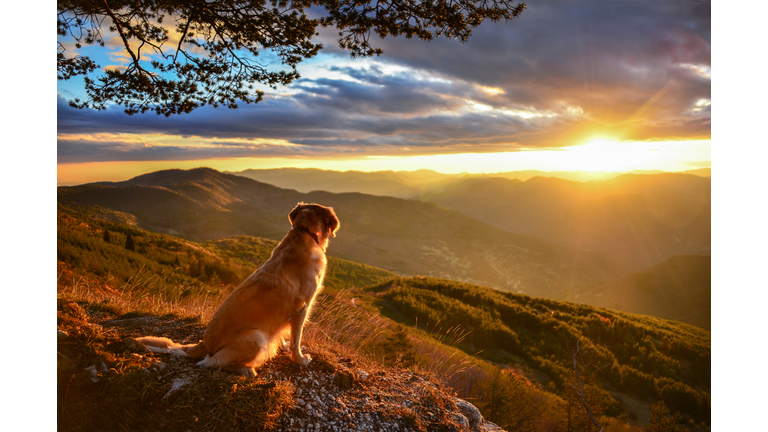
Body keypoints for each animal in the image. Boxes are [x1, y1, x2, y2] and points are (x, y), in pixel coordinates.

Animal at [137, 202, 340, 374]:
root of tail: (203, 344)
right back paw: (245, 370)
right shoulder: (301, 307)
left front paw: (282, 343)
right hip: (256, 338)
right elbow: (296, 340)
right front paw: (299, 359)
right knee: (210, 363)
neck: (304, 232)